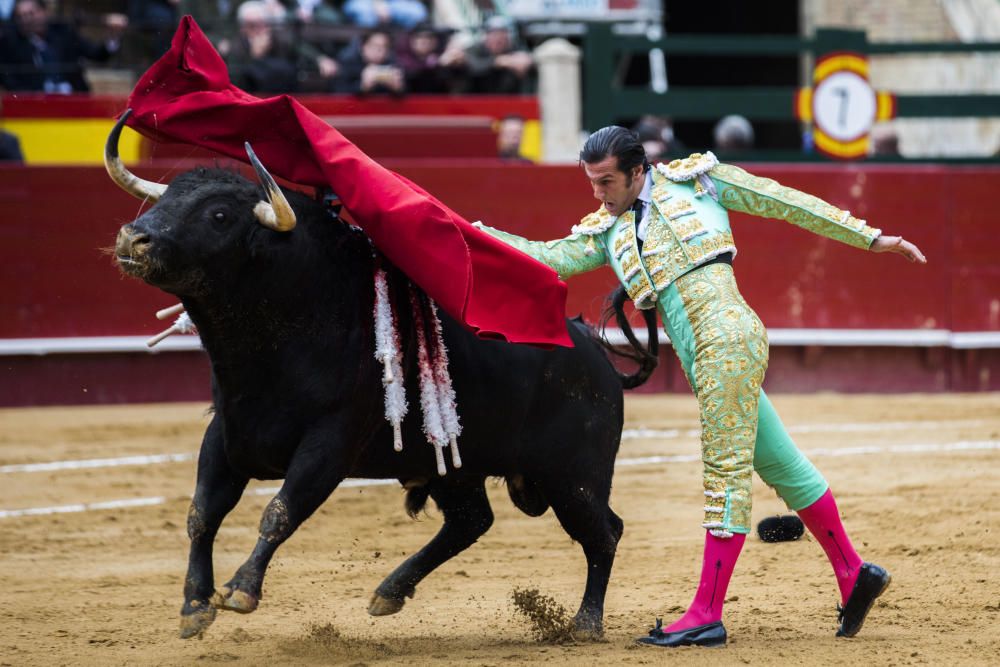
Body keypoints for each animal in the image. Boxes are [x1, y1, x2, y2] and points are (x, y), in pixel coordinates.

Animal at [107, 117, 656, 640]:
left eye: (219, 215)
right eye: (169, 197)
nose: (133, 237)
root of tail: (594, 352)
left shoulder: (330, 443)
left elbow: (281, 509)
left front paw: (240, 591)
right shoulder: (225, 435)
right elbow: (202, 514)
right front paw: (194, 607)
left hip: (575, 476)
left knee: (602, 532)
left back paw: (585, 623)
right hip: (457, 467)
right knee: (471, 521)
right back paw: (390, 591)